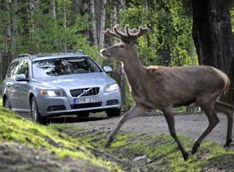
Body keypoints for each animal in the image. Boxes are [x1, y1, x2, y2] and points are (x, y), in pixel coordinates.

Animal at [99, 24, 233, 161]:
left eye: (122, 45)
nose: (103, 50)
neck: (144, 81)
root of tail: (225, 77)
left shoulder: (165, 103)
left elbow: (172, 131)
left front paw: (184, 154)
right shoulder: (142, 105)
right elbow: (123, 118)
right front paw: (108, 141)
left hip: (206, 97)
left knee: (214, 120)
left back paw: (195, 146)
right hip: (208, 99)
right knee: (229, 109)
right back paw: (226, 142)